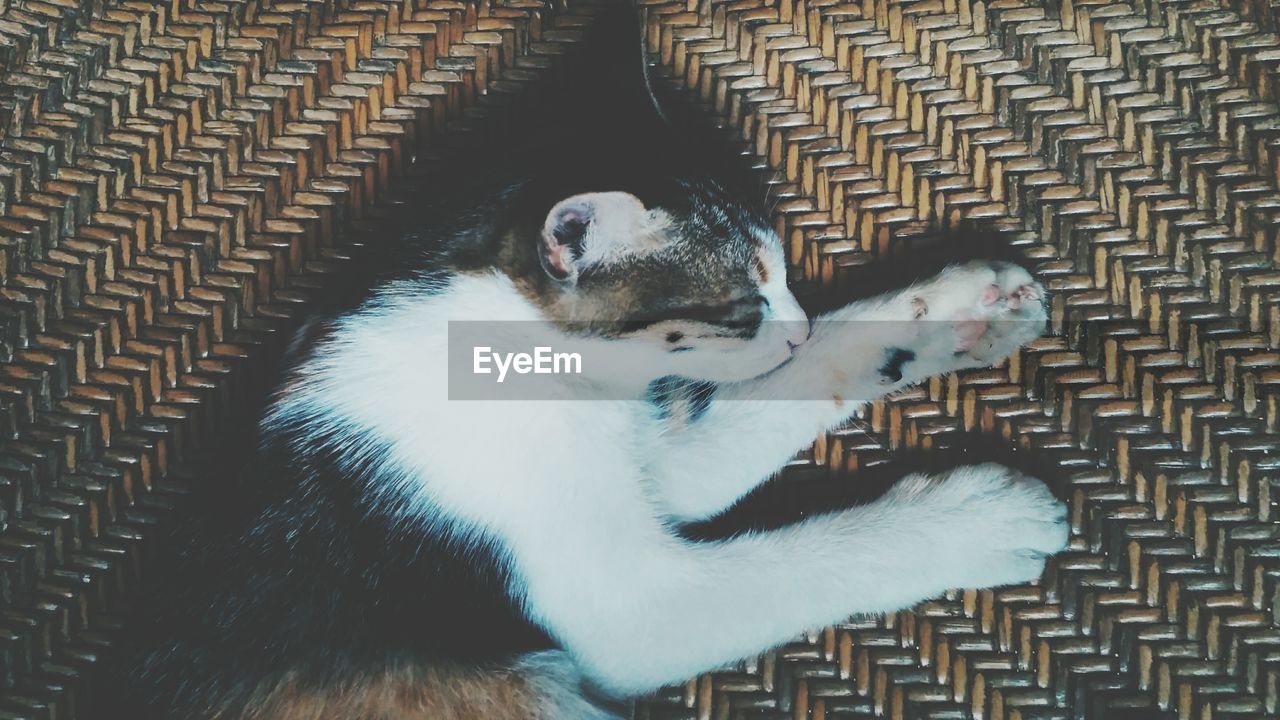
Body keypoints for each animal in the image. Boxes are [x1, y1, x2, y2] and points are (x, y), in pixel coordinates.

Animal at [92, 5, 1070, 717]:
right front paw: (976, 520)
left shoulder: (655, 460)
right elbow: (809, 557)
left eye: (787, 279)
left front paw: (965, 305)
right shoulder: (626, 604)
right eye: (738, 307)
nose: (789, 327)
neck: (532, 361)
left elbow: (785, 391)